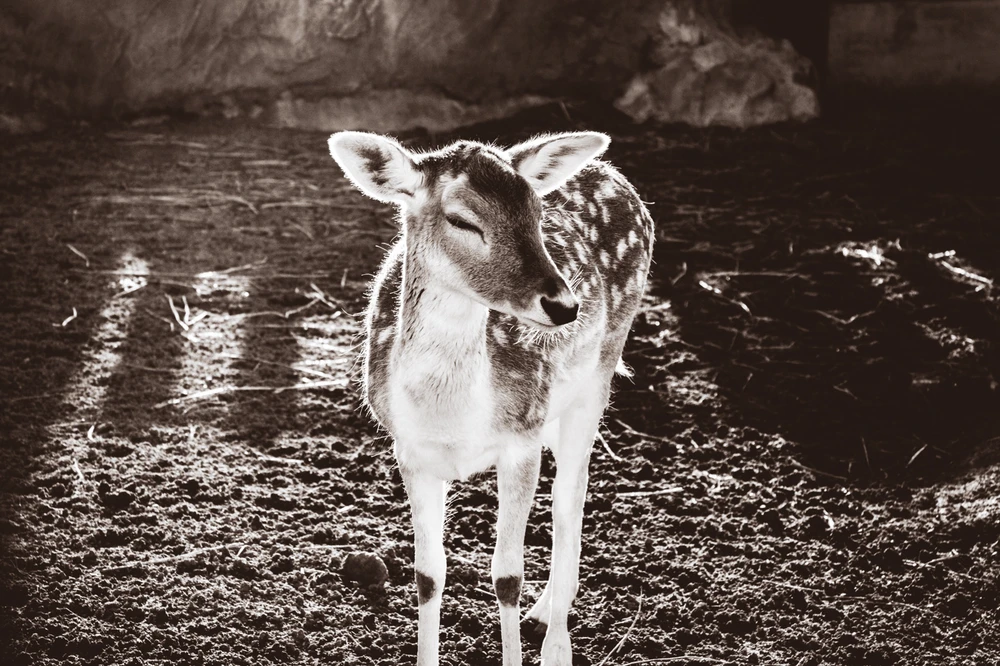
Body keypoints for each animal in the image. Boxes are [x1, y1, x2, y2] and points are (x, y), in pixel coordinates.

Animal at [328, 129, 654, 666]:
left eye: (537, 214)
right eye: (462, 219)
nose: (564, 305)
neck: (450, 416)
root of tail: (612, 173)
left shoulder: (521, 436)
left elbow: (507, 577)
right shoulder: (410, 450)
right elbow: (427, 574)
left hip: (599, 371)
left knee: (570, 495)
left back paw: (556, 639)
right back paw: (545, 612)